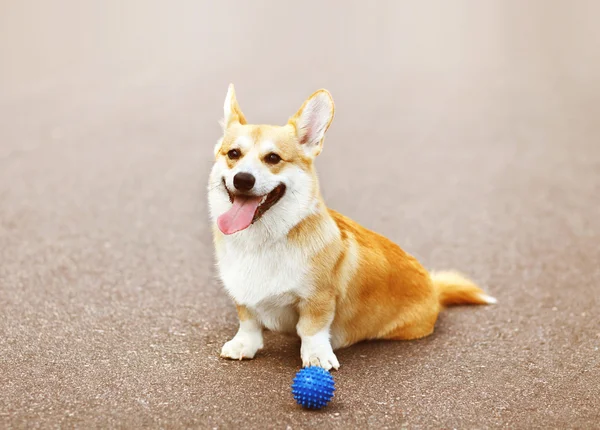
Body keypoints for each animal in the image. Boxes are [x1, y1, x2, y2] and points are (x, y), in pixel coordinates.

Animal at [209, 85, 494, 372]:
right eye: (233, 154)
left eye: (273, 158)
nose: (243, 179)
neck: (261, 242)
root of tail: (435, 290)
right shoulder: (243, 295)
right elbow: (248, 322)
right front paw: (243, 345)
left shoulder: (318, 300)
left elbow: (311, 329)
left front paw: (316, 357)